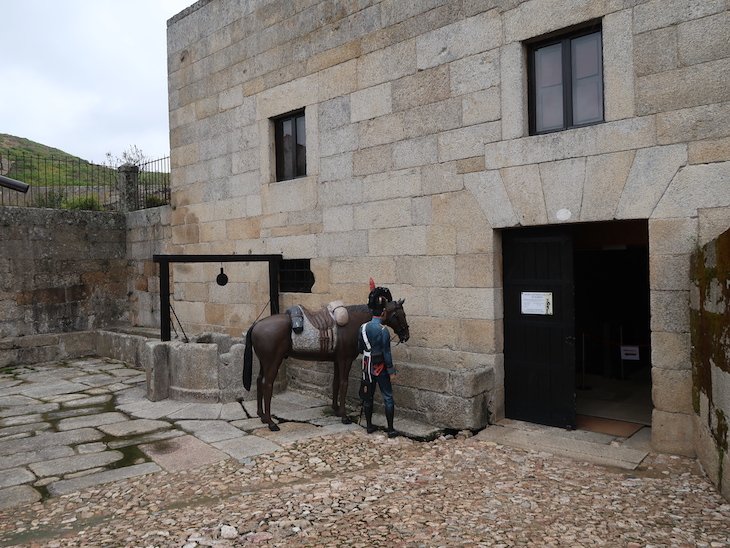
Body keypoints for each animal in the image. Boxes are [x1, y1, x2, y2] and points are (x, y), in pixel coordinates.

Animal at [242, 298, 406, 430]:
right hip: (273, 361)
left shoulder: (337, 361)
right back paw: (271, 422)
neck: (352, 322)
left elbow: (335, 383)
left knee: (259, 381)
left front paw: (336, 409)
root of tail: (256, 325)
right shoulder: (345, 360)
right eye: (398, 315)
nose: (406, 335)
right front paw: (344, 416)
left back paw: (262, 415)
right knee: (267, 384)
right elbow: (343, 384)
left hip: (264, 362)